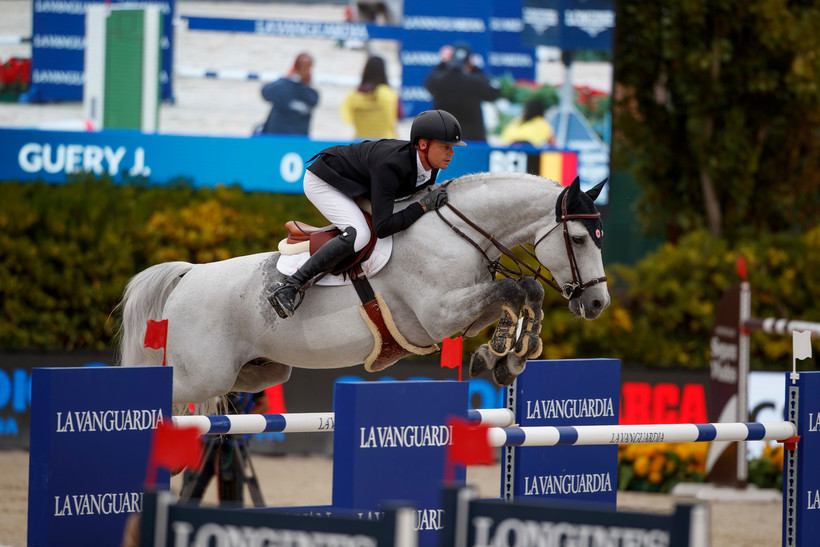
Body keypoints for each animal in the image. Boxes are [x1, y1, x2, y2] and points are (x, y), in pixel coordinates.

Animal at [113, 172, 608, 406]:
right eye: (580, 239)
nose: (598, 302)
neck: (457, 231)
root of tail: (188, 276)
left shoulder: (462, 313)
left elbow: (522, 291)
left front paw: (504, 356)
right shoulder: (439, 314)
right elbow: (515, 289)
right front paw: (504, 351)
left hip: (258, 371)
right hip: (203, 375)